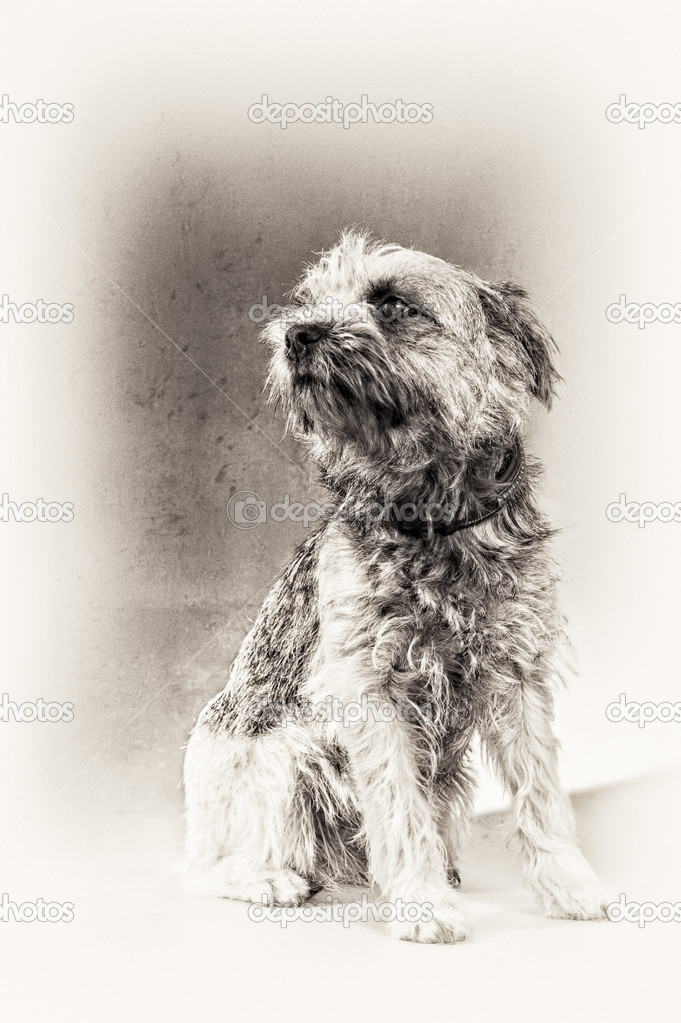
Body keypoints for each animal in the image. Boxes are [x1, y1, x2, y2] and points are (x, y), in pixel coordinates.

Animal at [183, 232, 605, 941]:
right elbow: (398, 806)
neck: (433, 517)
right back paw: (269, 878)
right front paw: (422, 904)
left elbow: (541, 793)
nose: (296, 334)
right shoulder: (371, 691)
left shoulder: (518, 677)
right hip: (282, 755)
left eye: (392, 304)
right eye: (310, 302)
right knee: (209, 865)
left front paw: (569, 884)